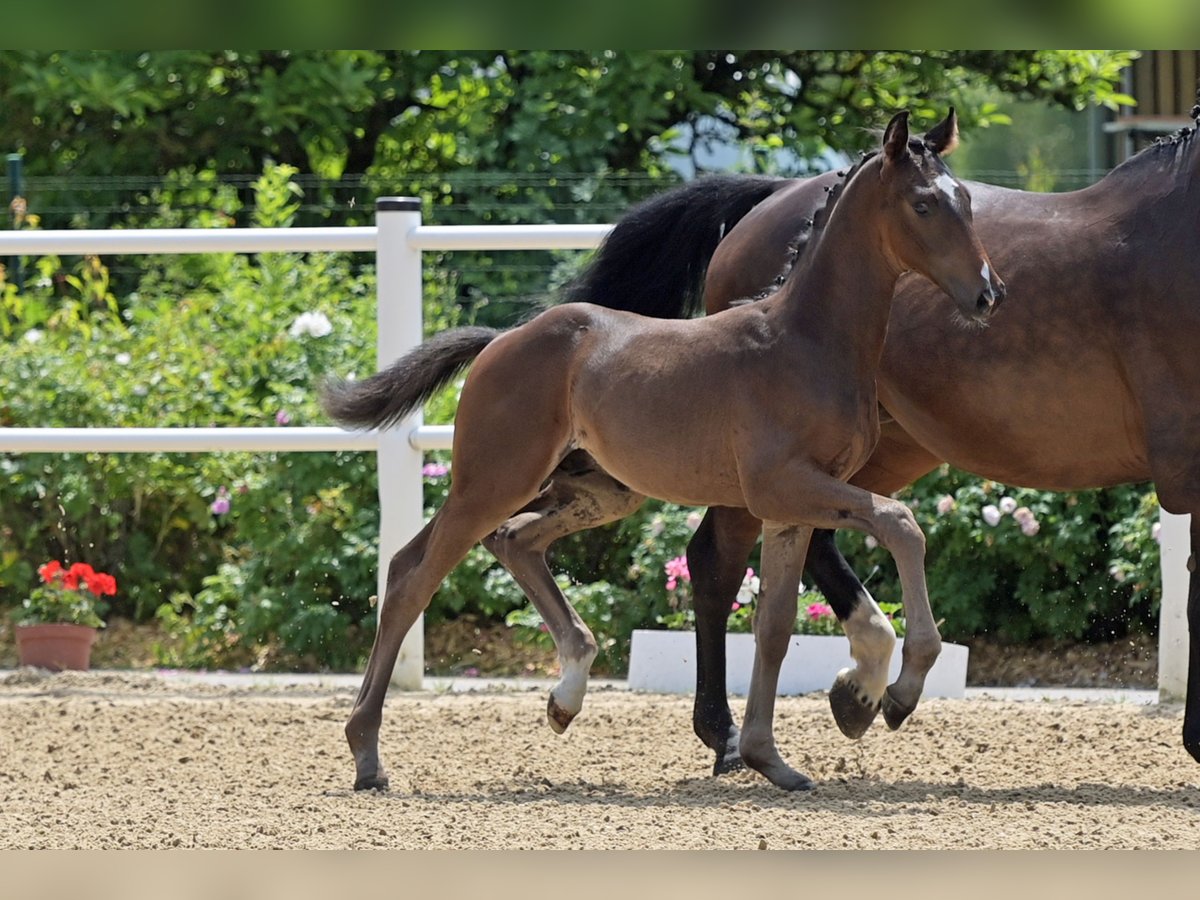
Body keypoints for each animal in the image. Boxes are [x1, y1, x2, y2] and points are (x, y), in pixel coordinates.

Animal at [326, 111, 1003, 787]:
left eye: (968, 202)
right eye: (922, 204)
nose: (988, 294)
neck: (806, 340)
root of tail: (501, 339)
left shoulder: (789, 508)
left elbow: (775, 626)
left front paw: (770, 758)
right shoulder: (784, 485)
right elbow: (902, 522)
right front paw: (898, 693)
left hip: (597, 490)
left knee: (510, 540)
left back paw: (566, 695)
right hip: (493, 479)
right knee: (414, 574)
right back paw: (366, 753)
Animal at [492, 105, 1200, 772]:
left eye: (968, 204)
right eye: (924, 205)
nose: (990, 294)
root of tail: (770, 197)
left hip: (878, 449)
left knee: (808, 543)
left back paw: (855, 689)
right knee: (719, 561)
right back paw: (740, 730)